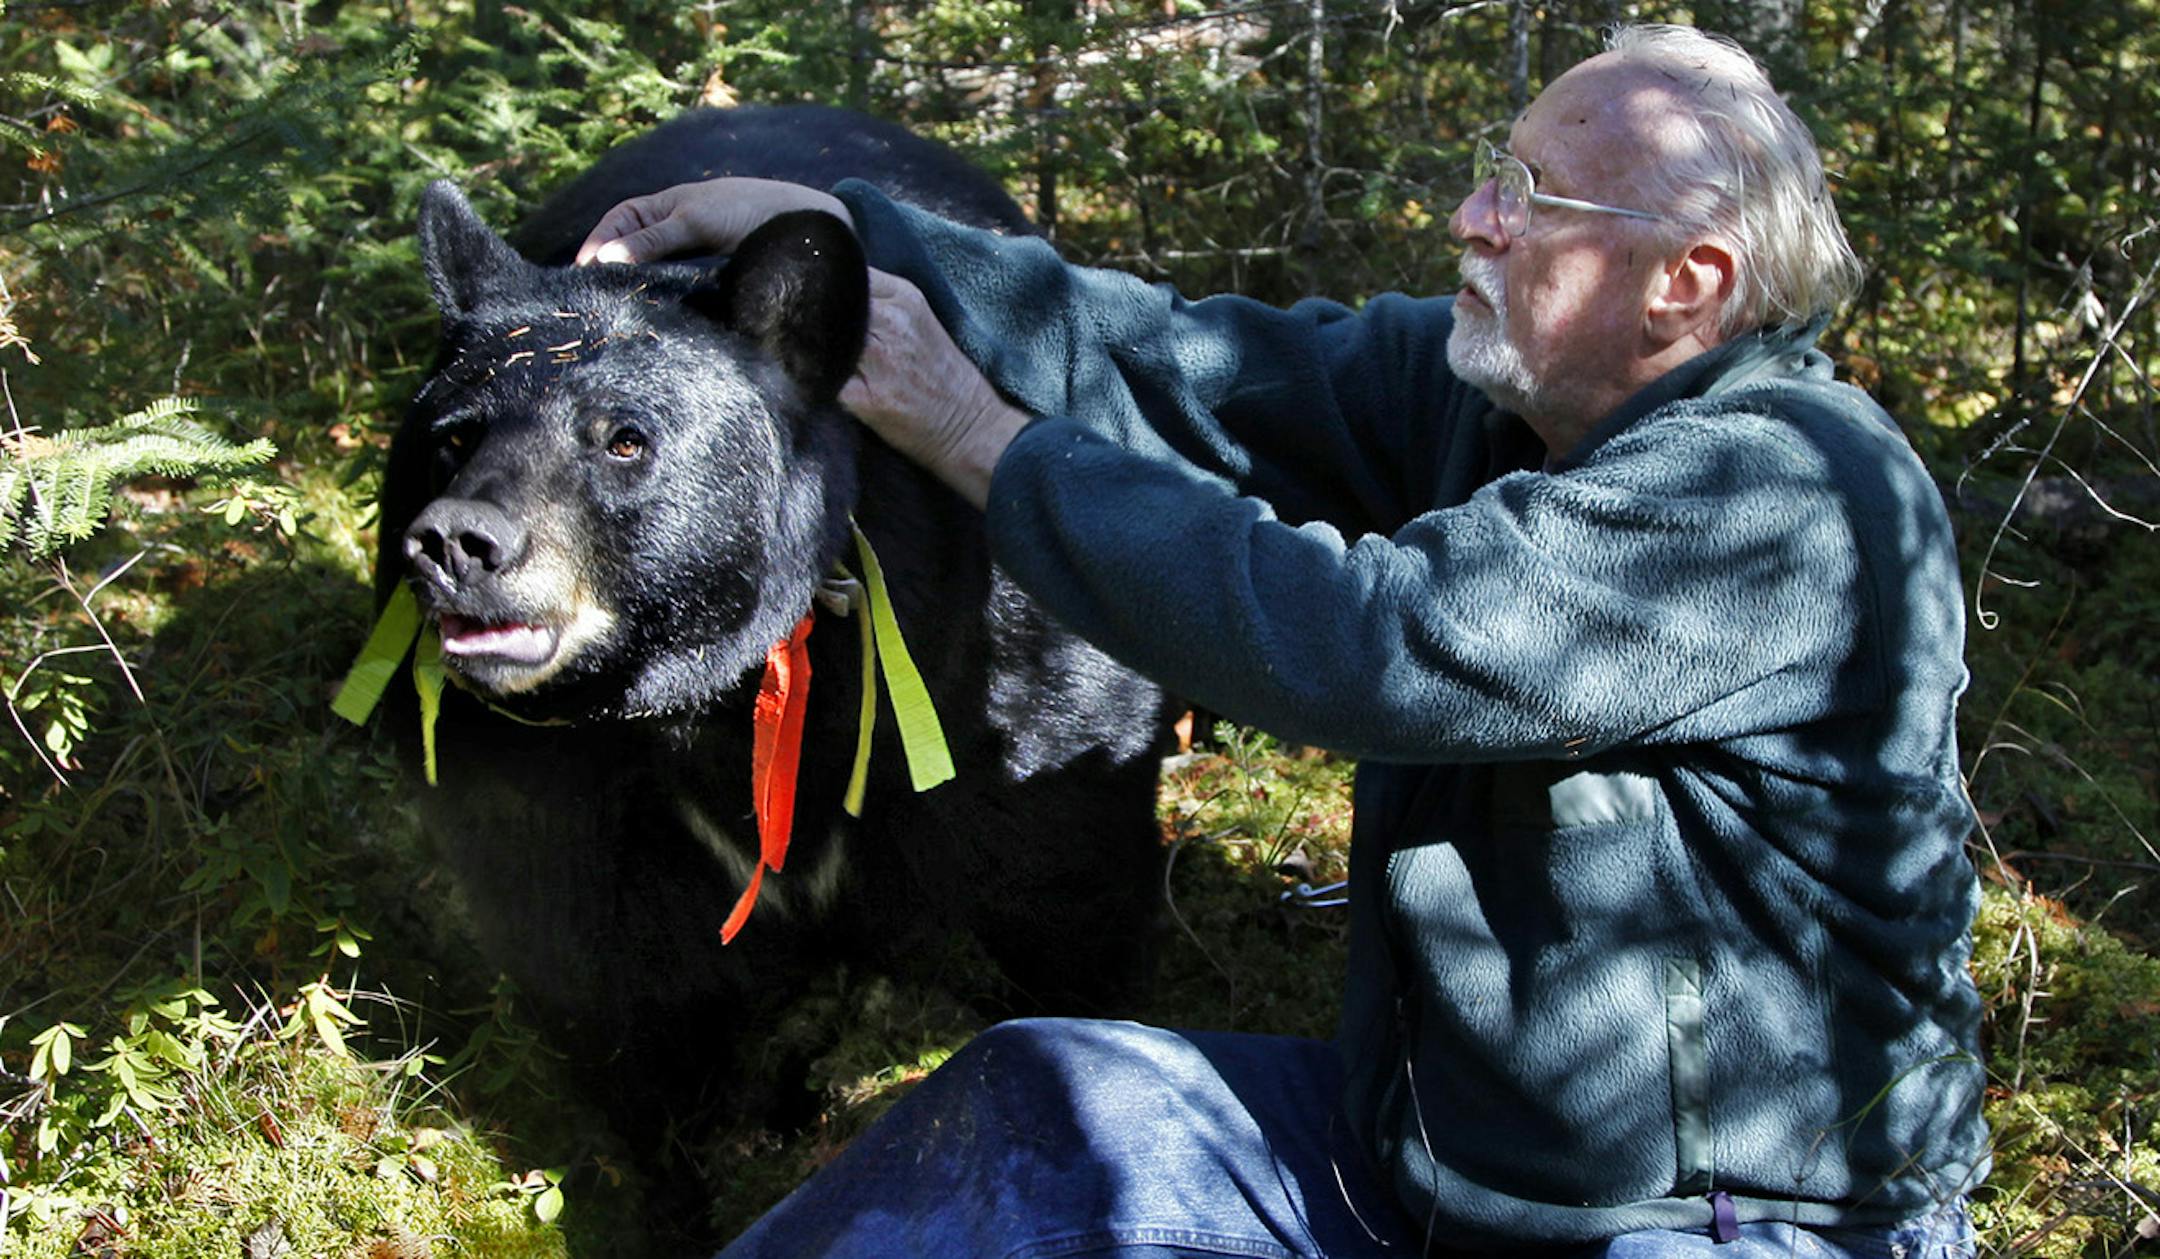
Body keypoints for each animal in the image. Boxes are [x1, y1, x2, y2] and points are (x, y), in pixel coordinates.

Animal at [365, 107, 1171, 1161]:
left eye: (624, 437)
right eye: (454, 435)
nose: (454, 541)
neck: (715, 704)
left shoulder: (1011, 713)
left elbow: (1072, 909)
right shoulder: (564, 821)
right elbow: (618, 1020)